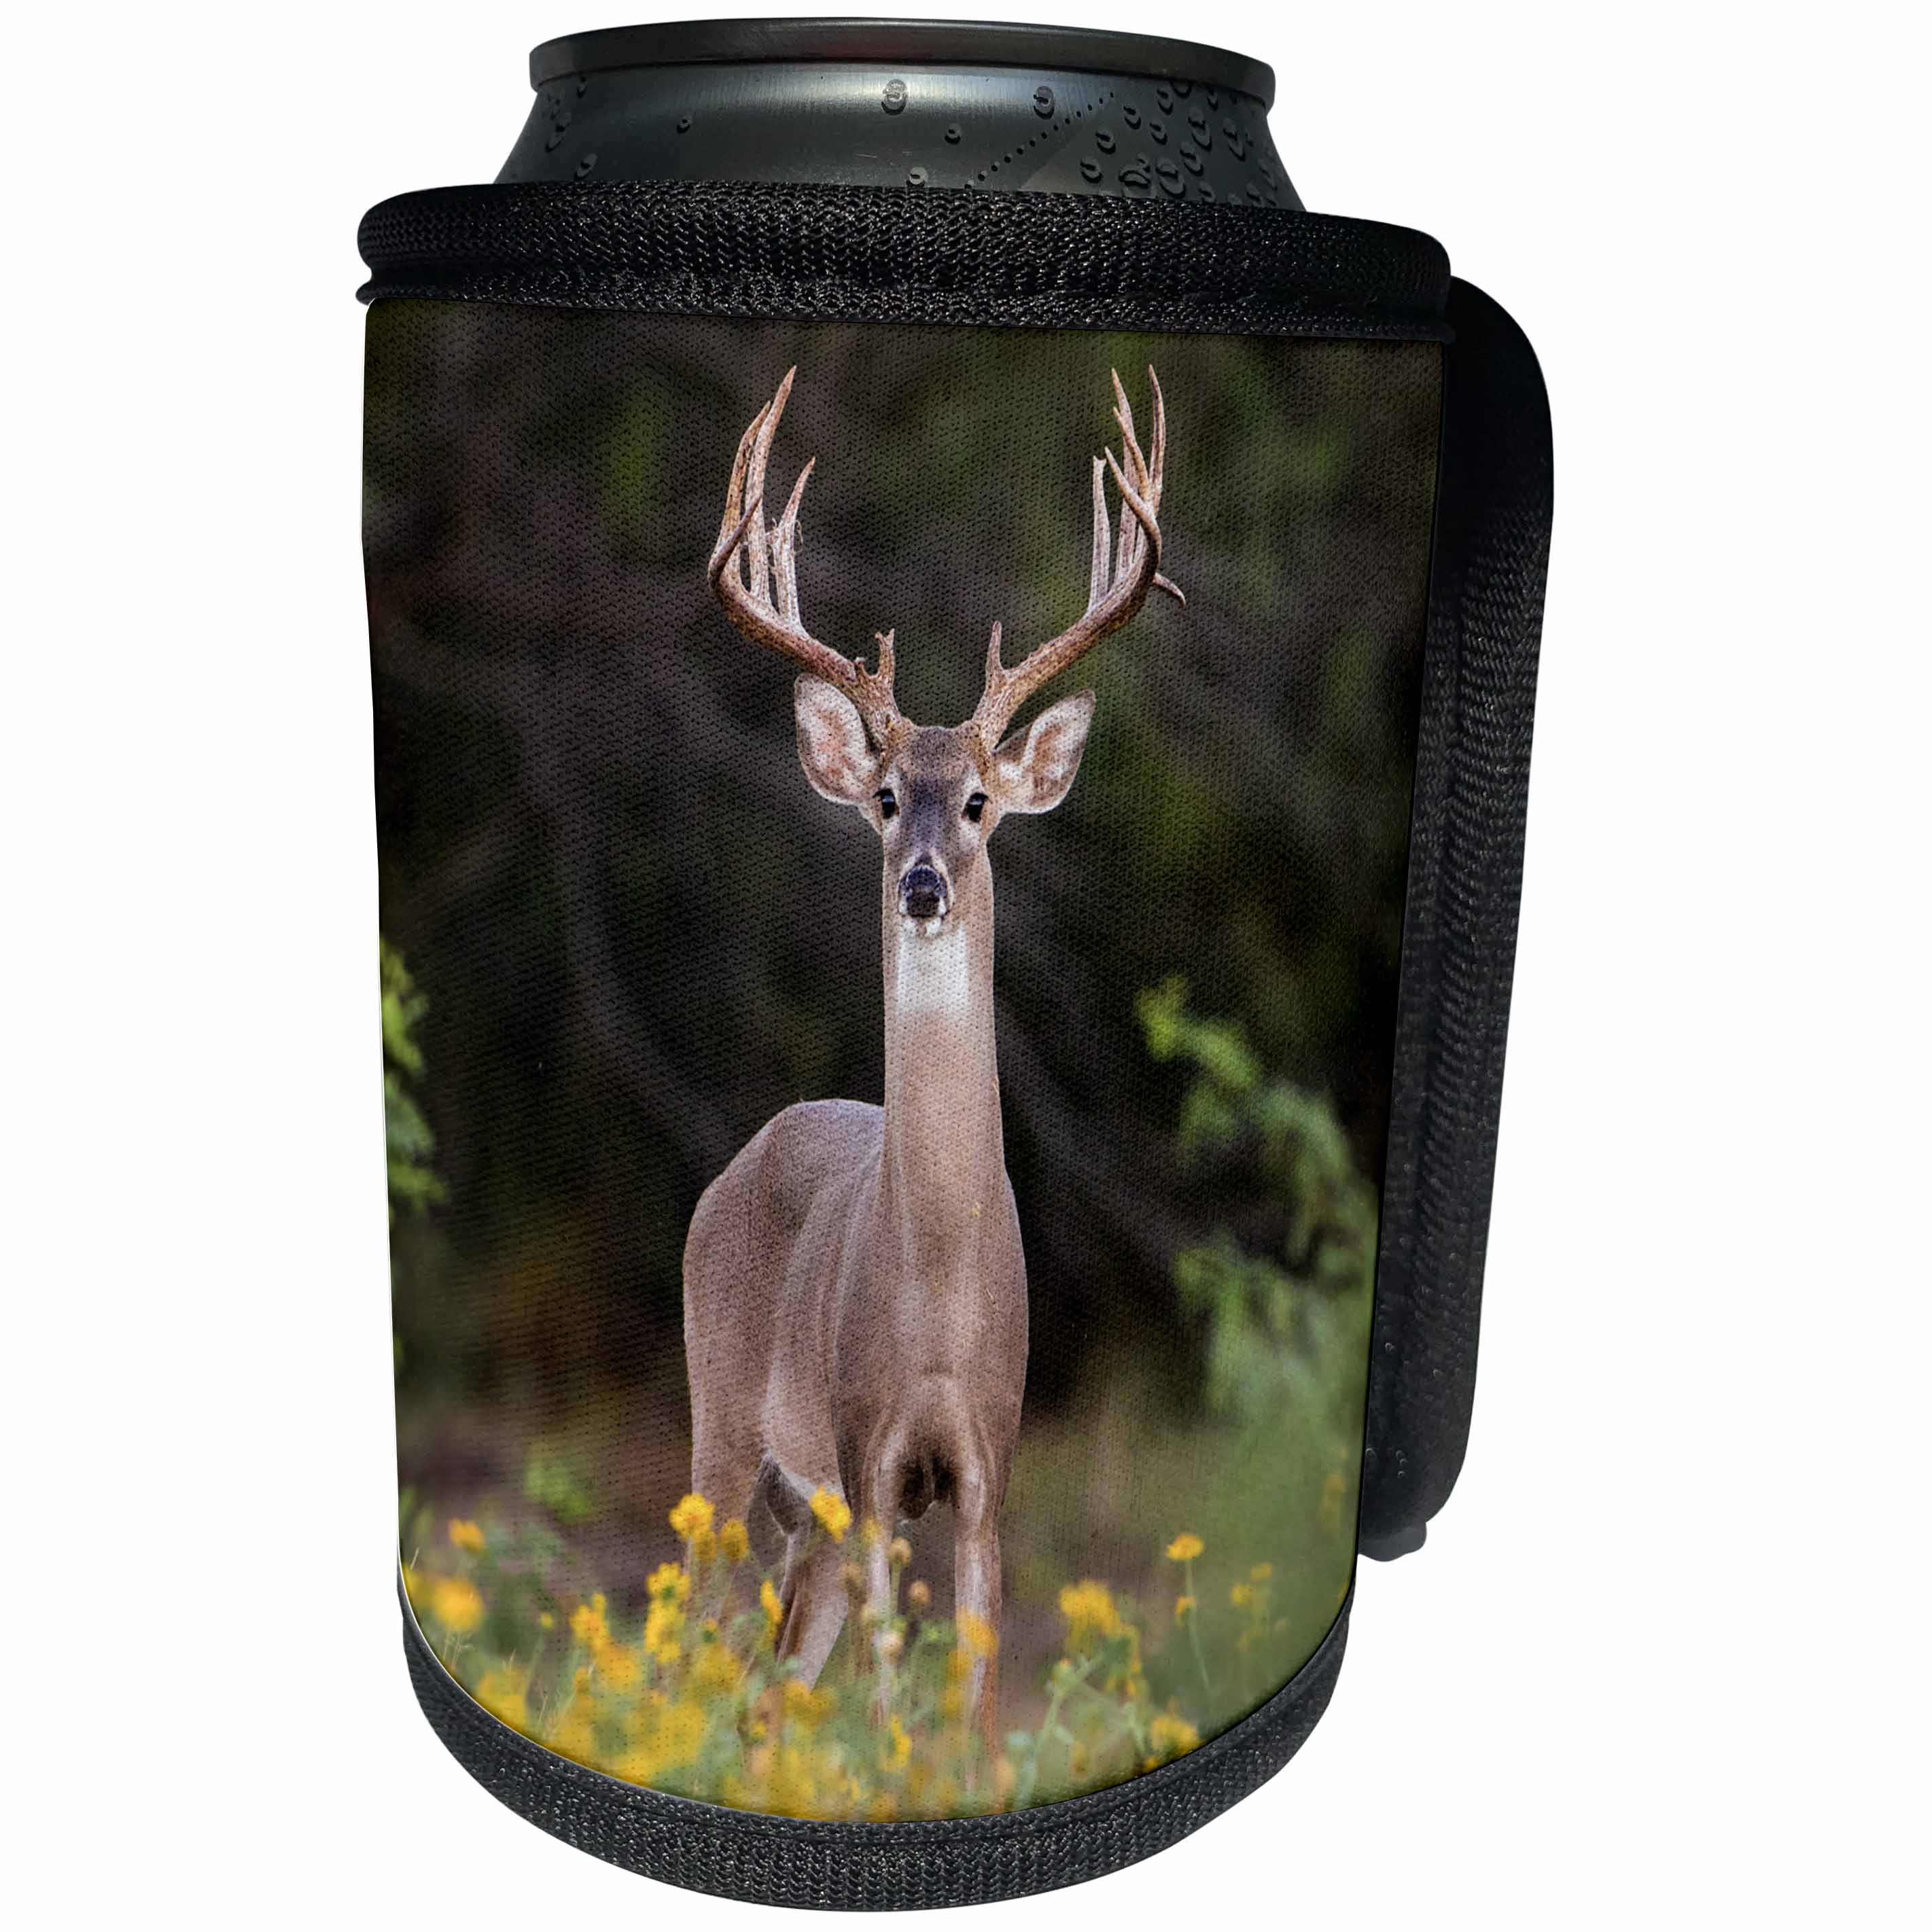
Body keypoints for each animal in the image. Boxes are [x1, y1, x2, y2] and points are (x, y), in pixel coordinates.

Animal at [681, 363, 1179, 1741]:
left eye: (976, 802)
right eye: (883, 796)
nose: (919, 883)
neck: (940, 1293)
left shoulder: (988, 1461)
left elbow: (964, 1699)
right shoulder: (865, 1453)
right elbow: (896, 1692)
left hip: (800, 1508)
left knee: (773, 1673)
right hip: (724, 1429)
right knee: (685, 1626)